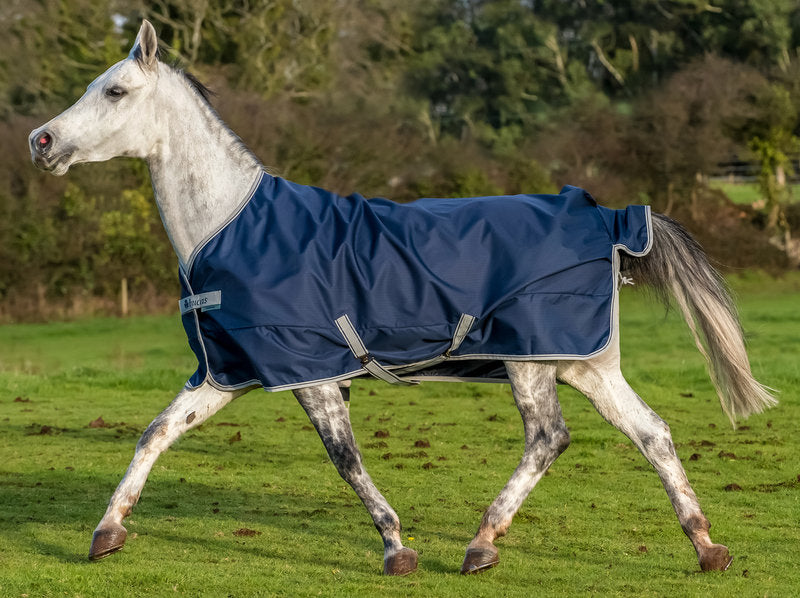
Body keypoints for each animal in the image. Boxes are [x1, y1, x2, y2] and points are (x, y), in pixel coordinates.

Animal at [29, 21, 776, 580]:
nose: (41, 141)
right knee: (652, 433)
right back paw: (706, 546)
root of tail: (605, 215)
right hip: (582, 363)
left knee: (548, 438)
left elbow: (346, 461)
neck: (232, 224)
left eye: (115, 90)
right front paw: (106, 533)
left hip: (532, 363)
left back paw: (482, 544)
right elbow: (156, 433)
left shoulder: (313, 374)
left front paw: (397, 548)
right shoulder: (226, 373)